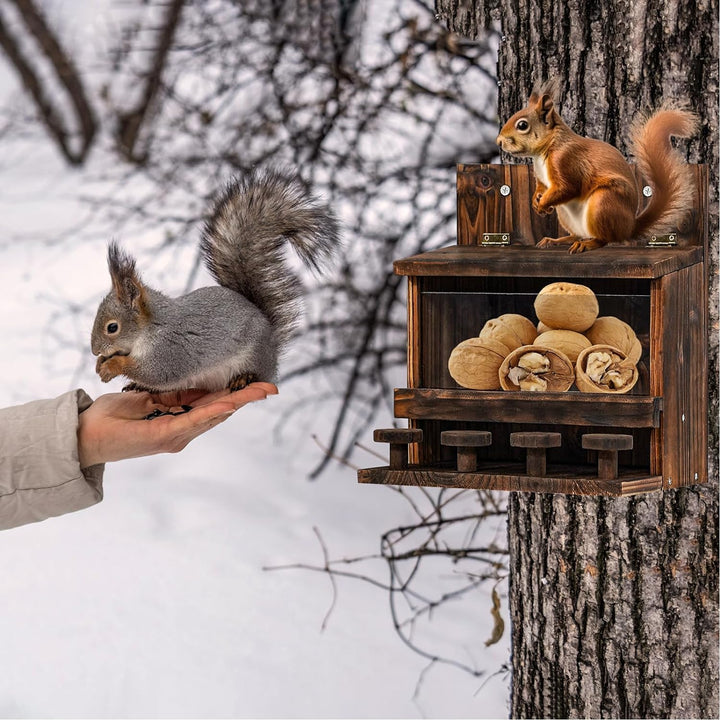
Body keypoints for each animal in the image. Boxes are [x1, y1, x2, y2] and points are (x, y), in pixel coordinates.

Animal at [91, 169, 340, 394]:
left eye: (112, 327)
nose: (95, 351)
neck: (151, 327)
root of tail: (273, 352)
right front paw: (102, 364)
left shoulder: (170, 351)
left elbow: (156, 373)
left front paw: (113, 365)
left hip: (253, 359)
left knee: (257, 374)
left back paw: (244, 378)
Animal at [496, 83, 698, 253]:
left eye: (522, 125)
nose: (498, 141)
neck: (544, 152)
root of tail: (629, 227)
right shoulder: (542, 178)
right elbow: (542, 187)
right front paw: (536, 201)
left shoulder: (567, 161)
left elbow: (567, 188)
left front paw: (543, 203)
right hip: (567, 215)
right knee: (577, 235)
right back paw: (556, 241)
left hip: (604, 202)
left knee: (605, 239)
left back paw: (586, 244)